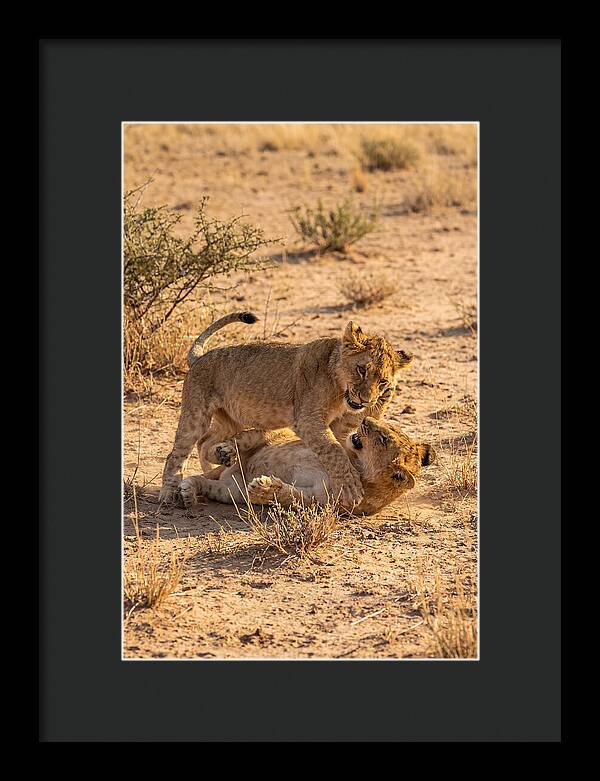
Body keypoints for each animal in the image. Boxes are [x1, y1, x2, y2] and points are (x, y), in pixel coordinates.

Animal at [159, 311, 413, 507]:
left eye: (383, 381)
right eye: (361, 370)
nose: (366, 400)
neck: (339, 389)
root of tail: (200, 357)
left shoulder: (340, 425)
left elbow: (340, 446)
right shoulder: (308, 419)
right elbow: (334, 450)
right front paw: (351, 486)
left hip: (231, 418)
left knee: (205, 442)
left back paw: (218, 462)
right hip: (196, 413)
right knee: (177, 453)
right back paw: (169, 493)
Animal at [179, 417, 436, 516]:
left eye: (383, 439)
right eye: (387, 426)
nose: (364, 419)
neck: (355, 464)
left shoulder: (318, 501)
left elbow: (290, 496)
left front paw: (264, 488)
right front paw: (226, 450)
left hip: (230, 491)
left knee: (207, 483)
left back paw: (188, 493)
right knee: (249, 438)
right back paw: (221, 454)